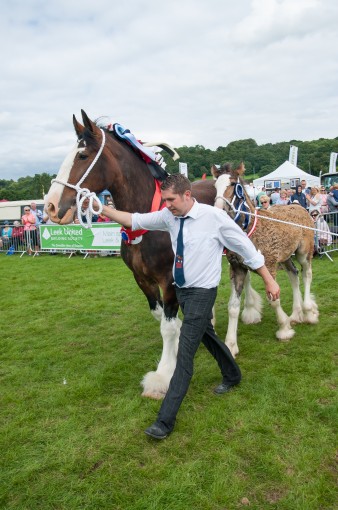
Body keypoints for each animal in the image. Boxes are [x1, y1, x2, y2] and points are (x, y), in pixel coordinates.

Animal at [45, 109, 217, 400]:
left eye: (82, 155)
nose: (51, 207)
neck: (147, 221)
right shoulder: (142, 279)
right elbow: (162, 318)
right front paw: (176, 347)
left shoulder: (168, 279)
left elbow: (167, 326)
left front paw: (163, 375)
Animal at [213, 162, 318, 354]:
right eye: (215, 185)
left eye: (233, 184)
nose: (218, 210)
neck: (248, 232)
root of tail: (301, 207)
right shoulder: (237, 268)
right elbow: (233, 307)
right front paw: (231, 344)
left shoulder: (269, 266)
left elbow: (273, 299)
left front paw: (284, 329)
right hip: (285, 257)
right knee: (294, 274)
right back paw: (296, 314)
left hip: (304, 252)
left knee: (307, 274)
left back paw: (308, 312)